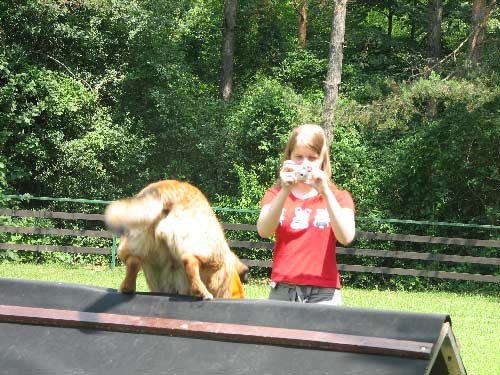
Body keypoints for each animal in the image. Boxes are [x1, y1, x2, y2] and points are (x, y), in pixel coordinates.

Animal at [105, 181, 248, 302]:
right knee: (190, 261)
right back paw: (202, 293)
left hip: (133, 242)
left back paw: (127, 288)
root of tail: (165, 189)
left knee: (133, 261)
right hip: (210, 252)